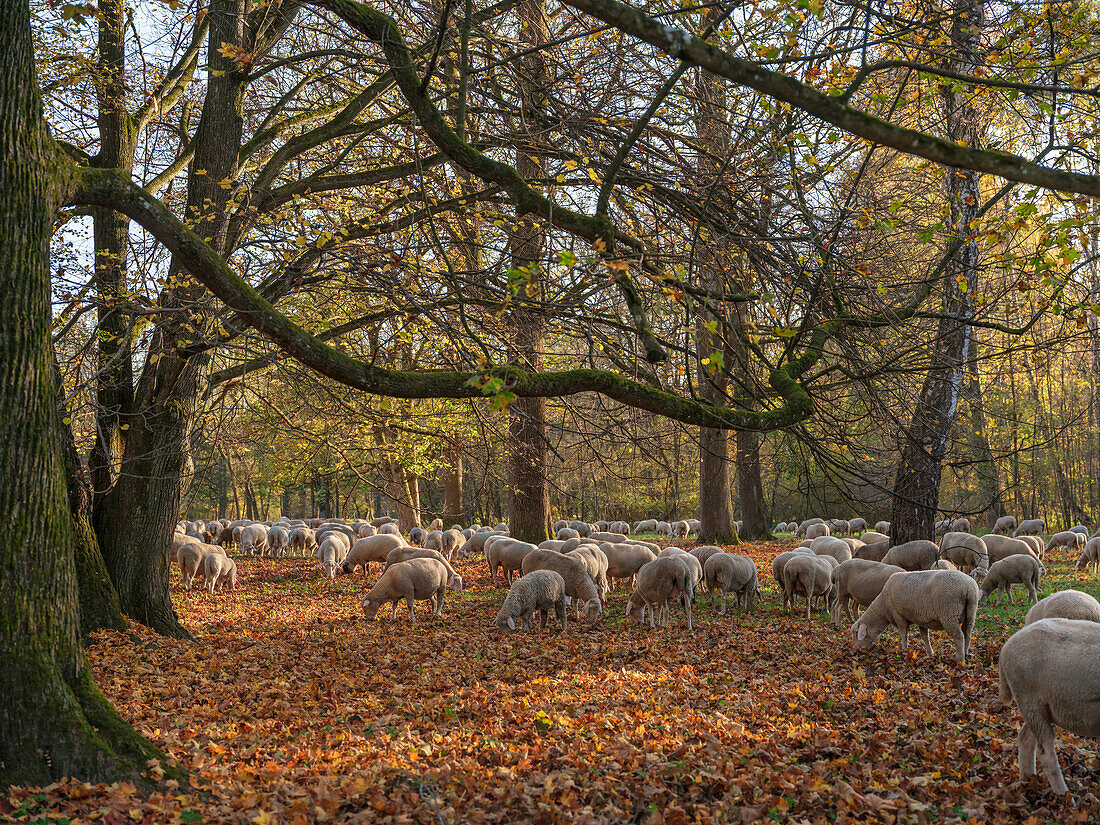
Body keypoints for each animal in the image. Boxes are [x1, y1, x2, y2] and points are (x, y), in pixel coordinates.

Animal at [849, 567, 981, 664]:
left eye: (856, 633)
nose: (855, 649)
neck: (883, 607)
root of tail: (968, 587)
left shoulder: (898, 615)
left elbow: (903, 634)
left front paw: (904, 650)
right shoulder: (921, 619)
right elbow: (925, 637)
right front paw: (930, 654)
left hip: (949, 614)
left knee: (959, 636)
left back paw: (960, 660)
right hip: (971, 613)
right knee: (967, 634)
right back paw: (966, 653)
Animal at [998, 624, 1100, 796]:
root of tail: (1007, 646)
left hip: (1038, 709)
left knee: (1025, 738)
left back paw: (1027, 779)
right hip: (1030, 699)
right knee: (1045, 751)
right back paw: (1065, 796)